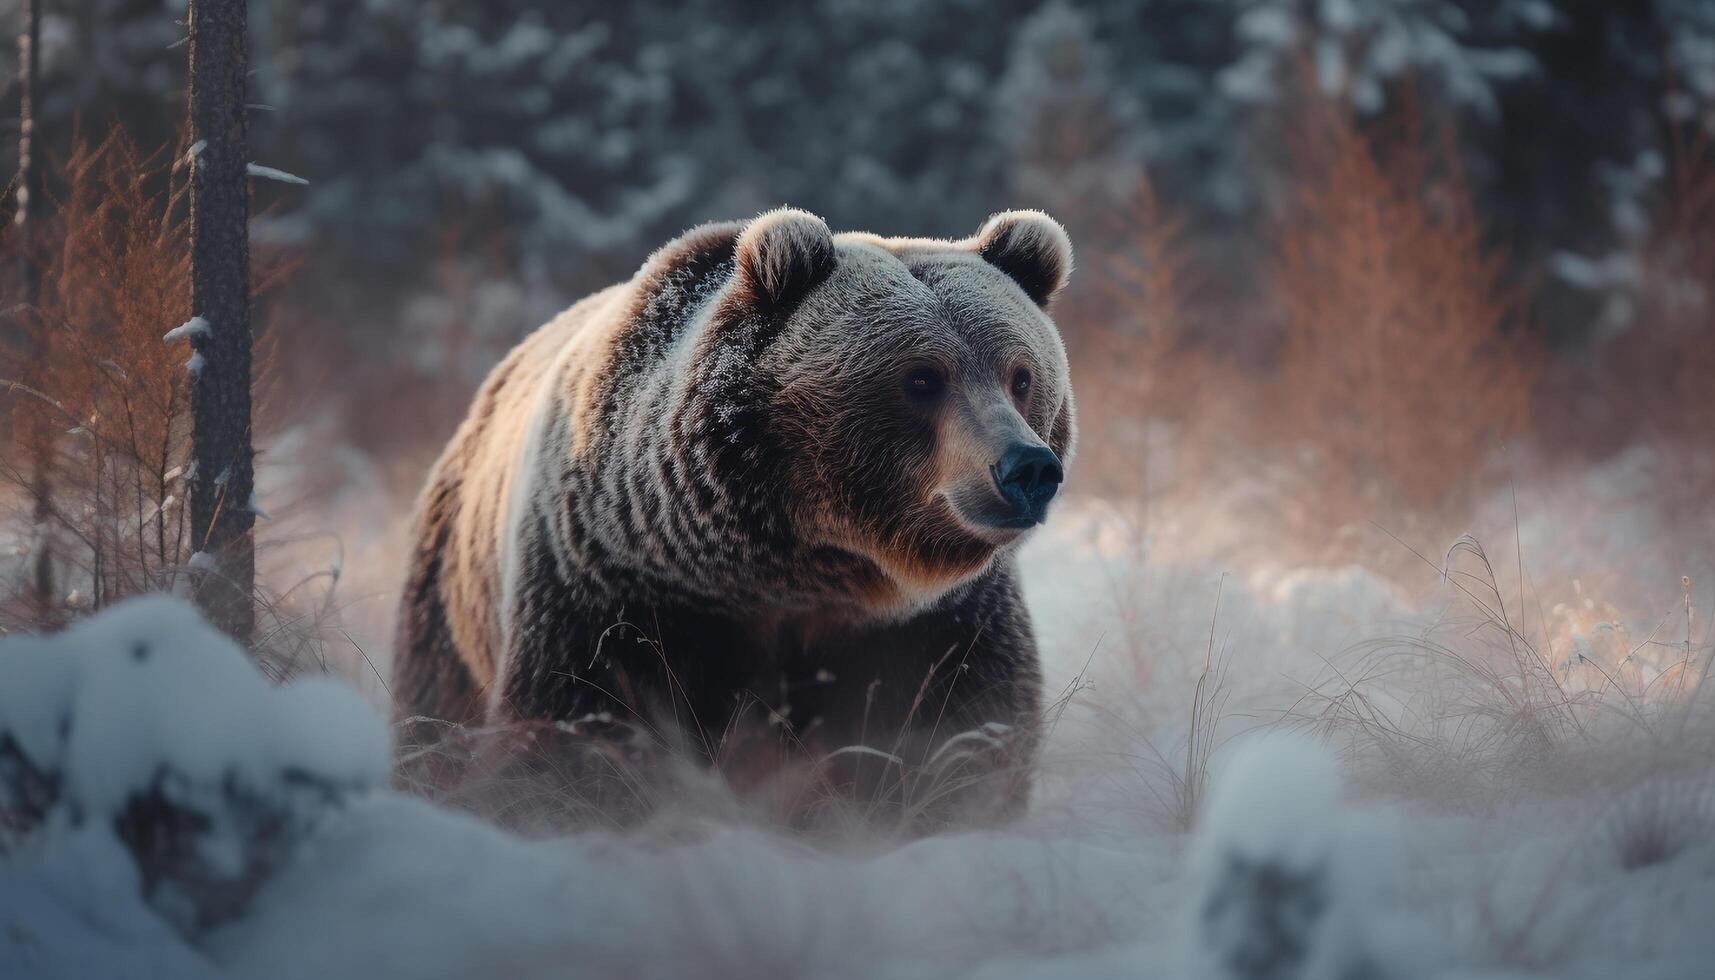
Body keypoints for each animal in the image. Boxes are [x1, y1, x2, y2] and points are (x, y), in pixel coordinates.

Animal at [394, 209, 1077, 820]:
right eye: (922, 378)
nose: (1027, 467)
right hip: (450, 598)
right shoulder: (615, 588)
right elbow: (574, 722)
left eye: (1020, 375)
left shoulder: (935, 625)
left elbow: (965, 732)